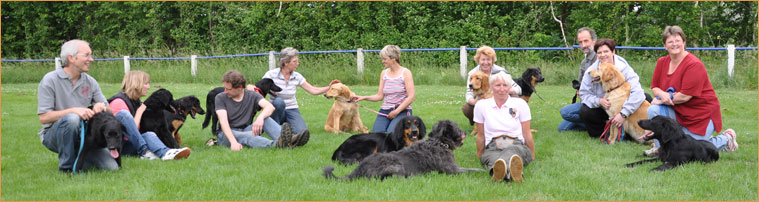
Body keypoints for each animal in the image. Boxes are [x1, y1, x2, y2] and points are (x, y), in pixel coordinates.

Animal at [324, 120, 484, 180]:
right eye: (456, 126)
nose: (464, 132)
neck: (438, 143)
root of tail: (359, 169)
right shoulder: (452, 170)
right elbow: (472, 170)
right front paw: (483, 171)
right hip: (395, 165)